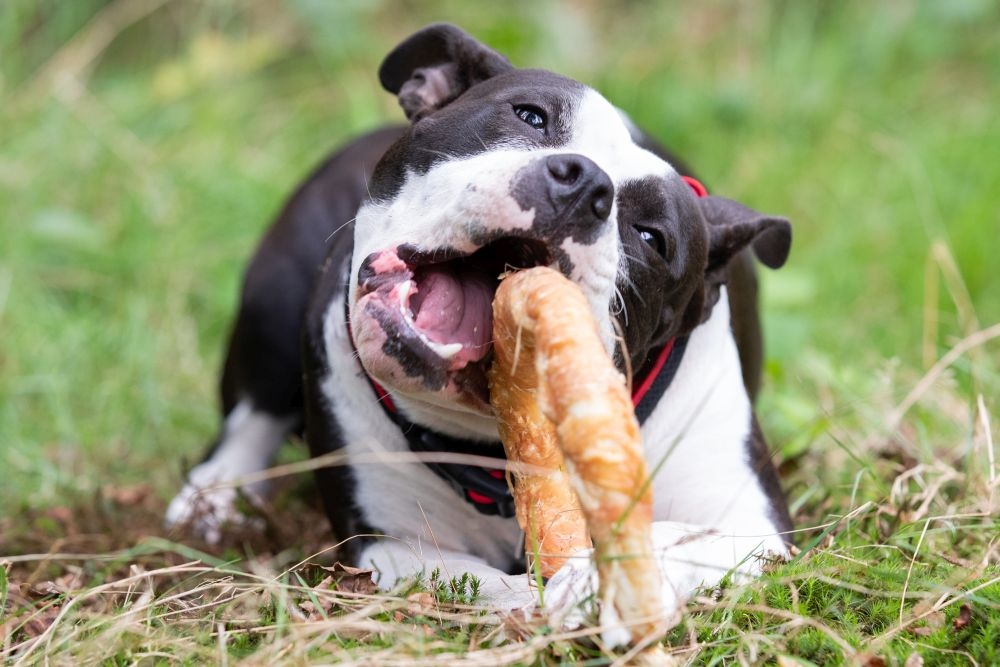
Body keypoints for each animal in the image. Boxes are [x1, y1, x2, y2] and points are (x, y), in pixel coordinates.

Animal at [166, 24, 788, 640]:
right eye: (530, 116)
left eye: (654, 238)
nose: (585, 182)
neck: (488, 454)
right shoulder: (390, 544)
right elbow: (482, 583)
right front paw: (557, 594)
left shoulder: (757, 528)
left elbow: (675, 540)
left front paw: (594, 585)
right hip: (271, 303)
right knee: (250, 416)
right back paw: (213, 500)